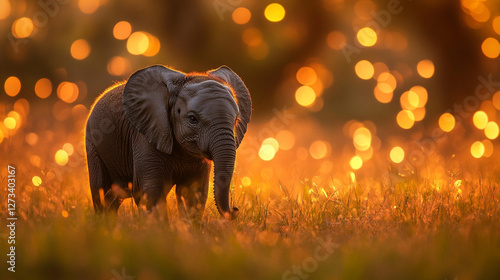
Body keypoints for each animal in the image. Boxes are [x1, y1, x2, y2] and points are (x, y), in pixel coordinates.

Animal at [84, 64, 252, 220]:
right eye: (192, 119)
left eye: (236, 120)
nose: (235, 209)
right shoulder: (146, 134)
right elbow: (151, 191)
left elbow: (193, 191)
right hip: (93, 144)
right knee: (102, 192)